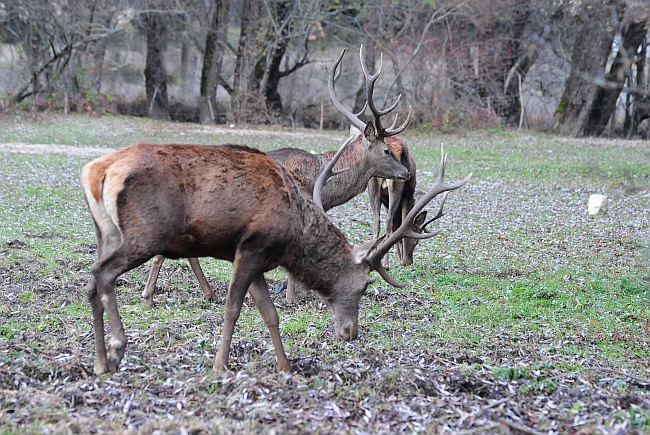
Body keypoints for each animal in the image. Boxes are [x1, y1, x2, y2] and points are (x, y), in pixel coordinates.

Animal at [82, 136, 470, 374]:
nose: (350, 332)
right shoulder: (252, 247)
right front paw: (220, 365)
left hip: (109, 233)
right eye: (362, 286)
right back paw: (117, 346)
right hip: (148, 232)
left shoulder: (258, 258)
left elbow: (270, 314)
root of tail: (97, 170)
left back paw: (100, 361)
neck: (292, 233)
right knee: (103, 274)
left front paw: (286, 367)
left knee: (92, 281)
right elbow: (234, 308)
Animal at [141, 45, 412, 306]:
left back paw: (207, 294)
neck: (323, 182)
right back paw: (149, 295)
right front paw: (293, 298)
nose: (406, 172)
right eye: (387, 150)